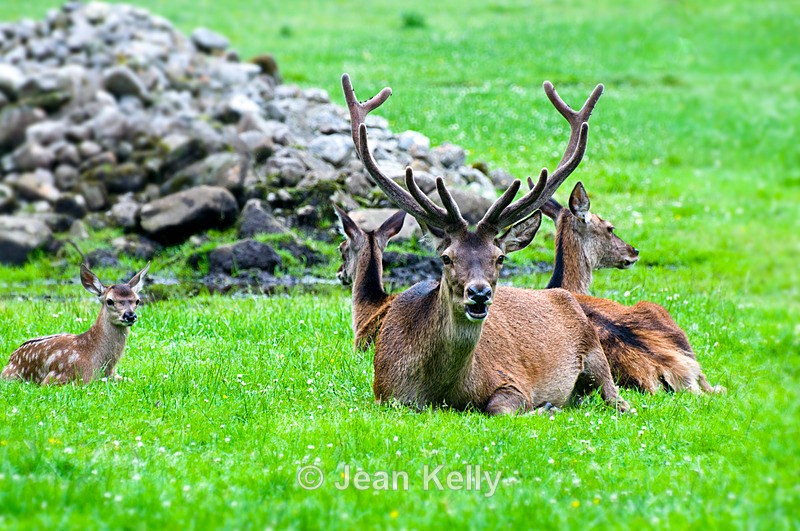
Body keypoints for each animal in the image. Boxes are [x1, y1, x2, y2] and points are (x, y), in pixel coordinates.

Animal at [1, 262, 150, 385]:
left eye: (137, 300)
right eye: (110, 301)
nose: (130, 315)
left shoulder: (115, 375)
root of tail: (10, 360)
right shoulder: (58, 377)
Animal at [342, 73, 629, 414]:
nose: (479, 293)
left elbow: (500, 406)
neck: (441, 391)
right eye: (446, 257)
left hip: (596, 352)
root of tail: (565, 295)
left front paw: (545, 406)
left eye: (499, 257)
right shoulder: (385, 395)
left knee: (619, 399)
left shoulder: (512, 381)